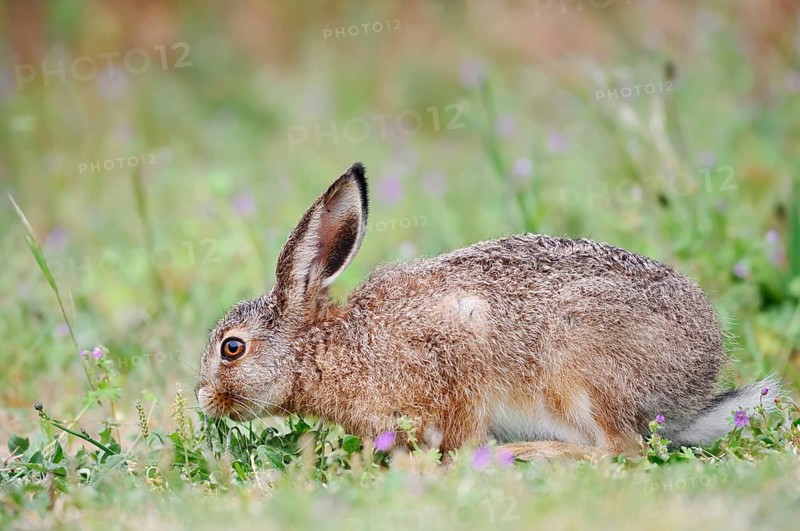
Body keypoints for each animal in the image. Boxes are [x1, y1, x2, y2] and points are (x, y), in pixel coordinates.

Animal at [196, 162, 778, 461]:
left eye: (232, 348)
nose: (203, 399)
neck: (323, 350)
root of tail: (690, 390)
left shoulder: (453, 365)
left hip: (583, 371)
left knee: (621, 450)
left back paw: (531, 455)